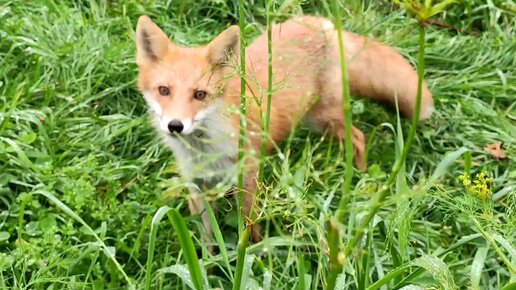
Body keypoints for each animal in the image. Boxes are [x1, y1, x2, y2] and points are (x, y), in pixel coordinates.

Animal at [135, 14, 434, 241]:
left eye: (200, 95)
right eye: (164, 90)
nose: (175, 125)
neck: (204, 150)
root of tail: (321, 20)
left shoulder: (249, 174)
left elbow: (249, 222)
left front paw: (254, 254)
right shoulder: (197, 186)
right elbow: (206, 239)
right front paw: (210, 267)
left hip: (324, 118)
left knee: (359, 137)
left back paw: (359, 179)